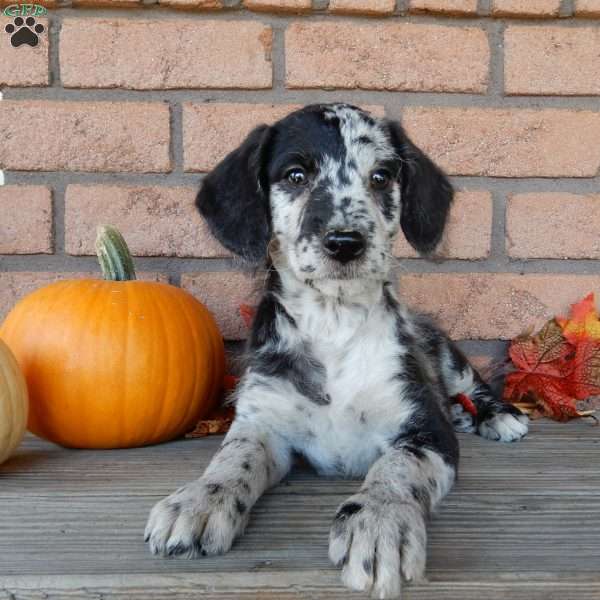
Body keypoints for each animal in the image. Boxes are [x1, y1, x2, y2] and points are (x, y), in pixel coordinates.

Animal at [146, 104, 528, 600]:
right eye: (295, 175)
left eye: (381, 176)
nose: (345, 242)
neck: (334, 322)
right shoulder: (263, 423)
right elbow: (232, 458)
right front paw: (198, 499)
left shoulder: (426, 429)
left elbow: (396, 467)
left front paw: (379, 520)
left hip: (442, 350)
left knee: (470, 382)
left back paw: (497, 416)